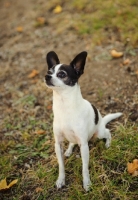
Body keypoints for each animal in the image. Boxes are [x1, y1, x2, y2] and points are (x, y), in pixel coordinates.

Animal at [44, 51, 121, 191]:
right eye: (49, 71)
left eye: (61, 74)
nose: (47, 76)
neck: (64, 105)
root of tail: (101, 121)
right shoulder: (58, 144)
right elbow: (61, 166)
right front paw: (61, 180)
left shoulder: (84, 146)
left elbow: (84, 168)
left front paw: (87, 183)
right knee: (72, 142)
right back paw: (69, 150)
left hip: (99, 133)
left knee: (107, 132)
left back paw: (108, 143)